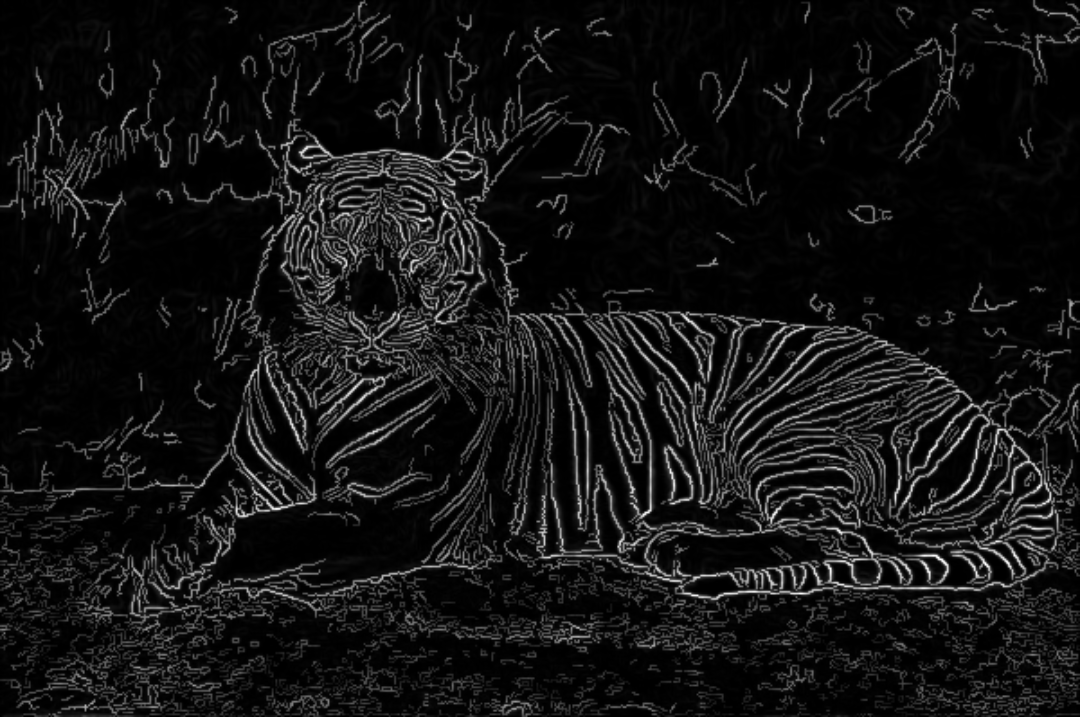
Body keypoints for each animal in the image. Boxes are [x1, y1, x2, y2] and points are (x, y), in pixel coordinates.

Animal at [134, 127, 1058, 612]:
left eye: (422, 231)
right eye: (344, 231)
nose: (375, 308)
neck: (333, 374)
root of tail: (986, 420)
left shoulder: (395, 507)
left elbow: (279, 532)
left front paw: (193, 571)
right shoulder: (244, 472)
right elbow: (200, 507)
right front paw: (163, 557)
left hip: (786, 424)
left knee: (844, 534)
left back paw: (686, 554)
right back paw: (669, 528)